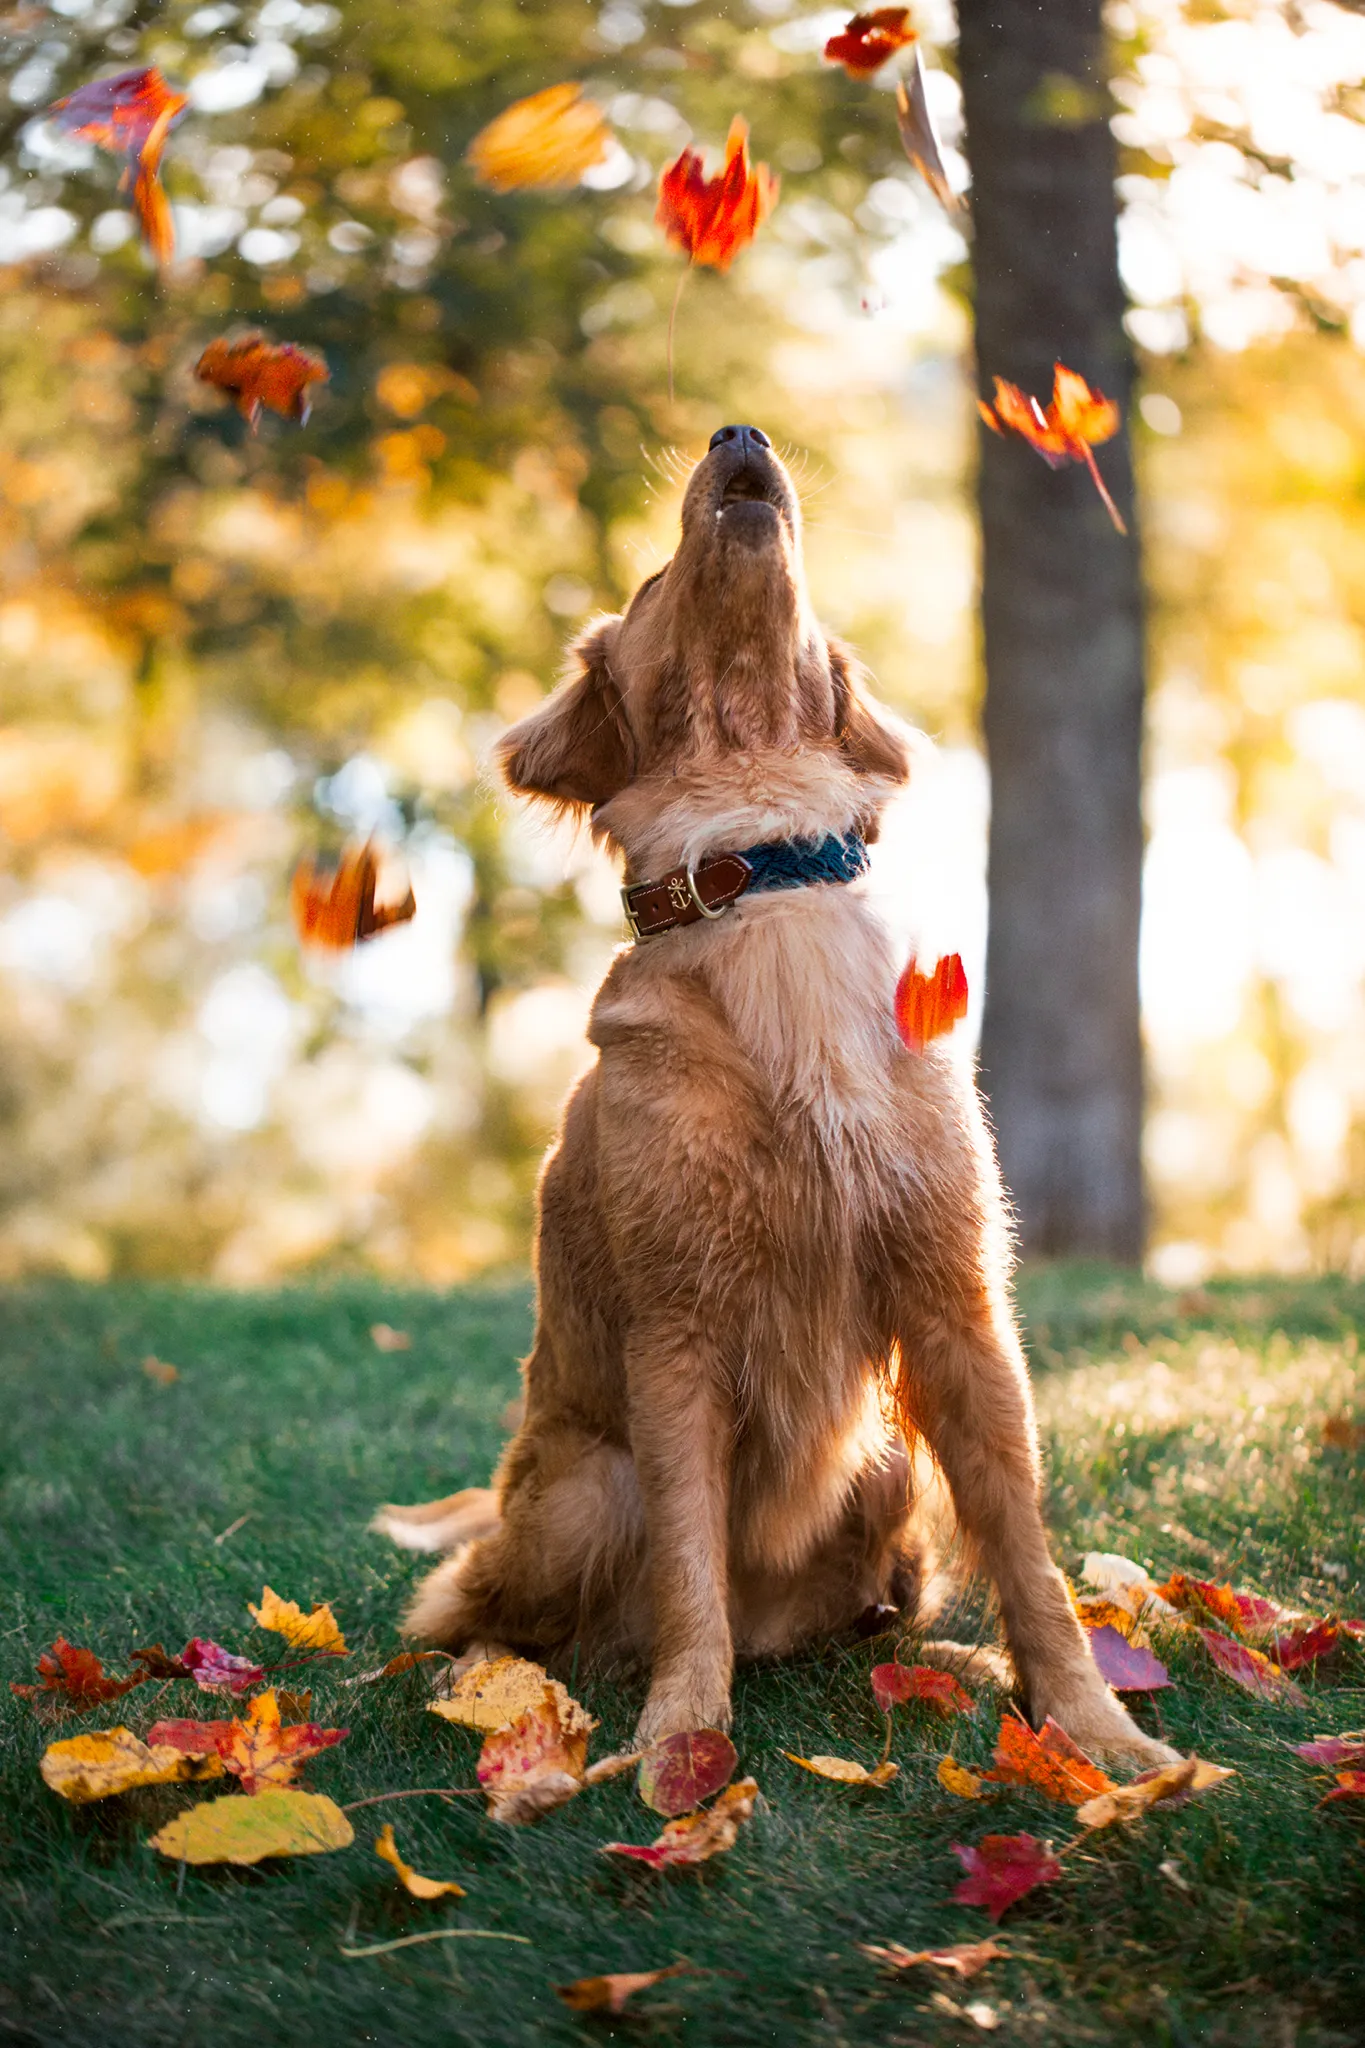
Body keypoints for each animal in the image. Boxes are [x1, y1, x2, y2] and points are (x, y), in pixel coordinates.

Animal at [378, 423, 1178, 1769]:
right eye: (654, 578)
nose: (739, 434)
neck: (758, 861)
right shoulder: (676, 1335)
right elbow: (690, 1567)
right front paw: (679, 1745)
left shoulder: (959, 1310)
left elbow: (1029, 1556)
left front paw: (1095, 1733)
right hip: (586, 1490)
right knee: (476, 1610)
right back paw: (500, 1683)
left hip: (888, 1457)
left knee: (881, 1608)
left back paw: (947, 1661)